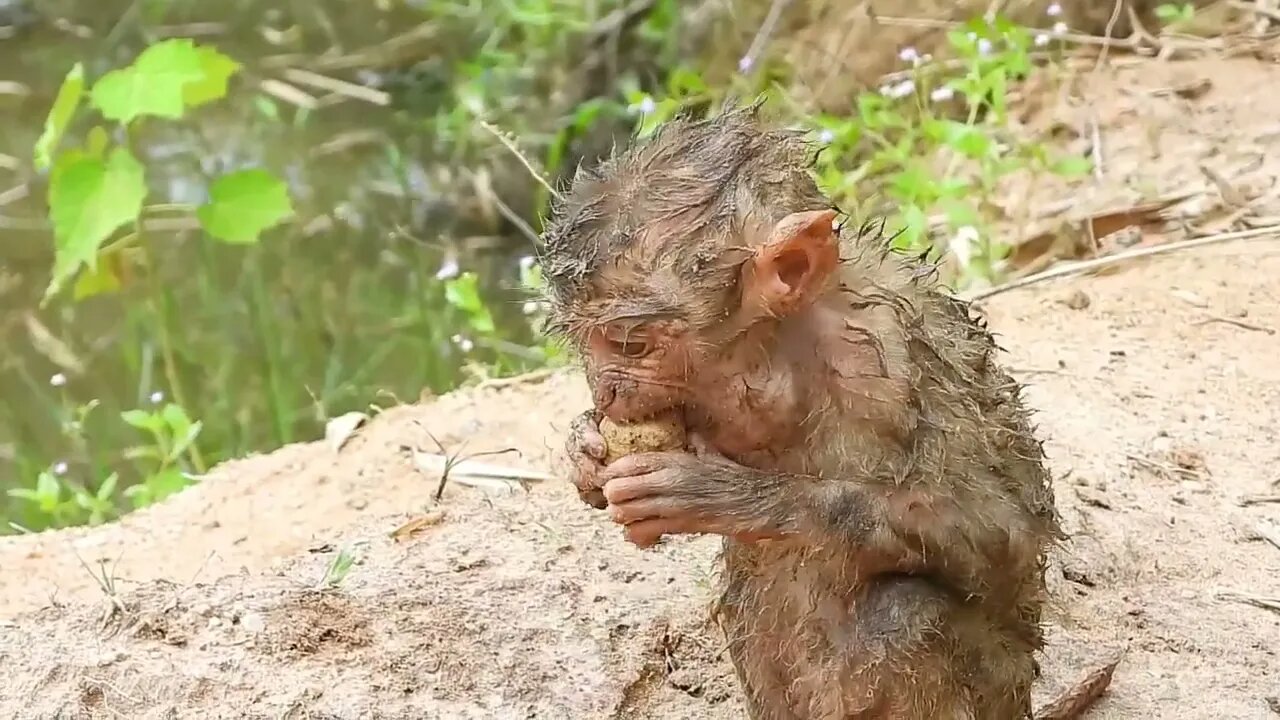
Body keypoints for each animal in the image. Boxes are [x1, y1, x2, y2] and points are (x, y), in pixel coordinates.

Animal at [540, 106, 1059, 717]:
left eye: (630, 345)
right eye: (584, 345)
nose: (606, 395)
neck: (788, 352)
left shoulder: (882, 364)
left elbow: (1005, 537)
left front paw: (722, 494)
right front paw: (584, 450)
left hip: (997, 689)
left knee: (908, 610)